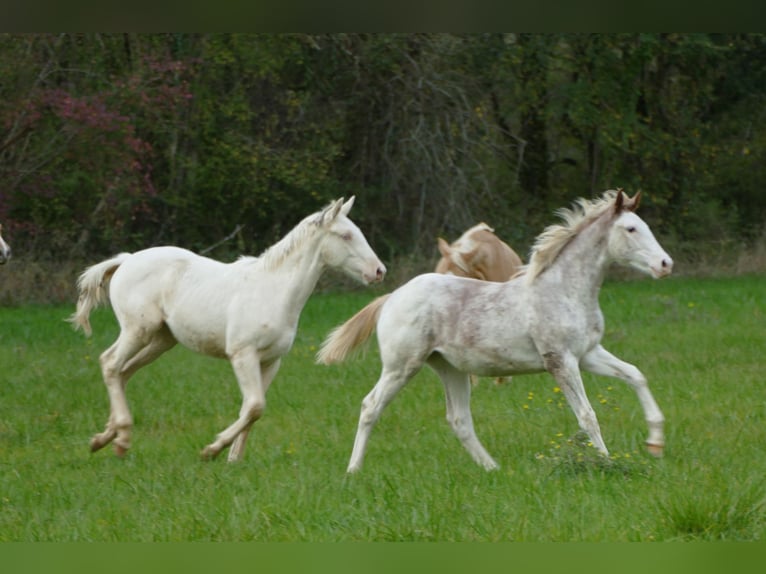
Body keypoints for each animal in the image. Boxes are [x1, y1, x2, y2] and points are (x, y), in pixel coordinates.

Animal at [69, 197, 385, 462]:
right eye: (345, 235)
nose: (379, 271)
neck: (275, 290)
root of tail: (126, 260)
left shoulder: (270, 361)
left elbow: (252, 409)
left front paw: (234, 458)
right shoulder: (242, 354)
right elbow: (255, 405)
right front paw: (213, 449)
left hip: (160, 340)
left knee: (123, 371)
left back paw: (105, 439)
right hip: (138, 330)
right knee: (110, 363)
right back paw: (121, 438)